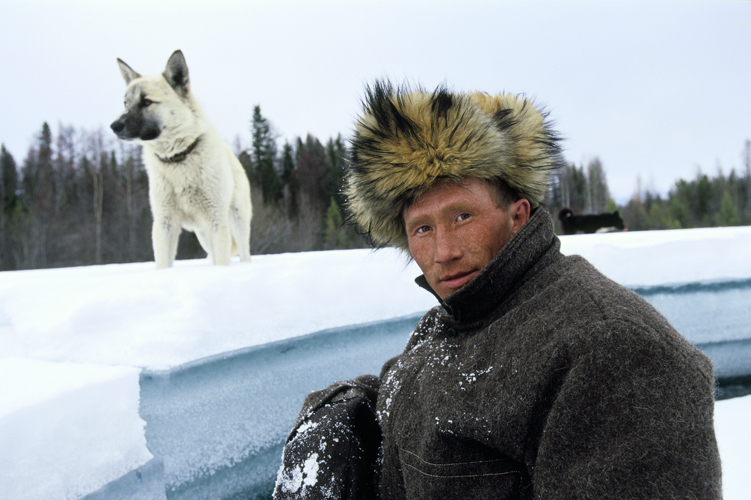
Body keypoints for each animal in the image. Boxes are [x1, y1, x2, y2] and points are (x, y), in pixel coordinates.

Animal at [110, 50, 253, 268]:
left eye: (146, 102)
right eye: (125, 103)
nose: (114, 126)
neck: (178, 159)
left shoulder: (216, 220)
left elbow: (222, 261)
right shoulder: (164, 224)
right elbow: (163, 264)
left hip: (236, 222)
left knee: (244, 253)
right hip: (203, 235)